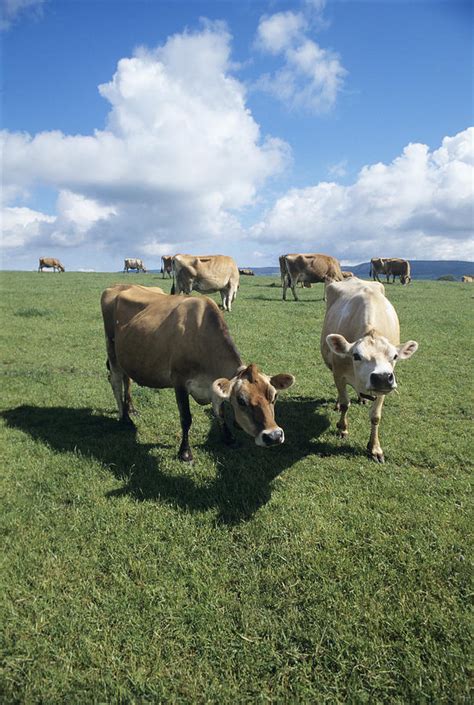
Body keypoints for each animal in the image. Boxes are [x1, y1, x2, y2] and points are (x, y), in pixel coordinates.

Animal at [100, 284, 294, 460]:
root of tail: (119, 286)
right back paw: (125, 418)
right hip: (111, 347)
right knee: (115, 380)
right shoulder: (179, 381)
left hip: (128, 355)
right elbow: (186, 418)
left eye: (274, 396)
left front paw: (228, 438)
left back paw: (131, 409)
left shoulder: (214, 384)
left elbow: (220, 412)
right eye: (241, 400)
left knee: (127, 379)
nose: (274, 436)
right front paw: (185, 452)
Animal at [322, 278, 418, 464]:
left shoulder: (382, 389)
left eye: (395, 356)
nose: (382, 377)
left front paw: (374, 448)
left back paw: (362, 398)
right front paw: (342, 428)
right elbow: (345, 403)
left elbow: (375, 416)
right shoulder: (339, 374)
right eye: (356, 355)